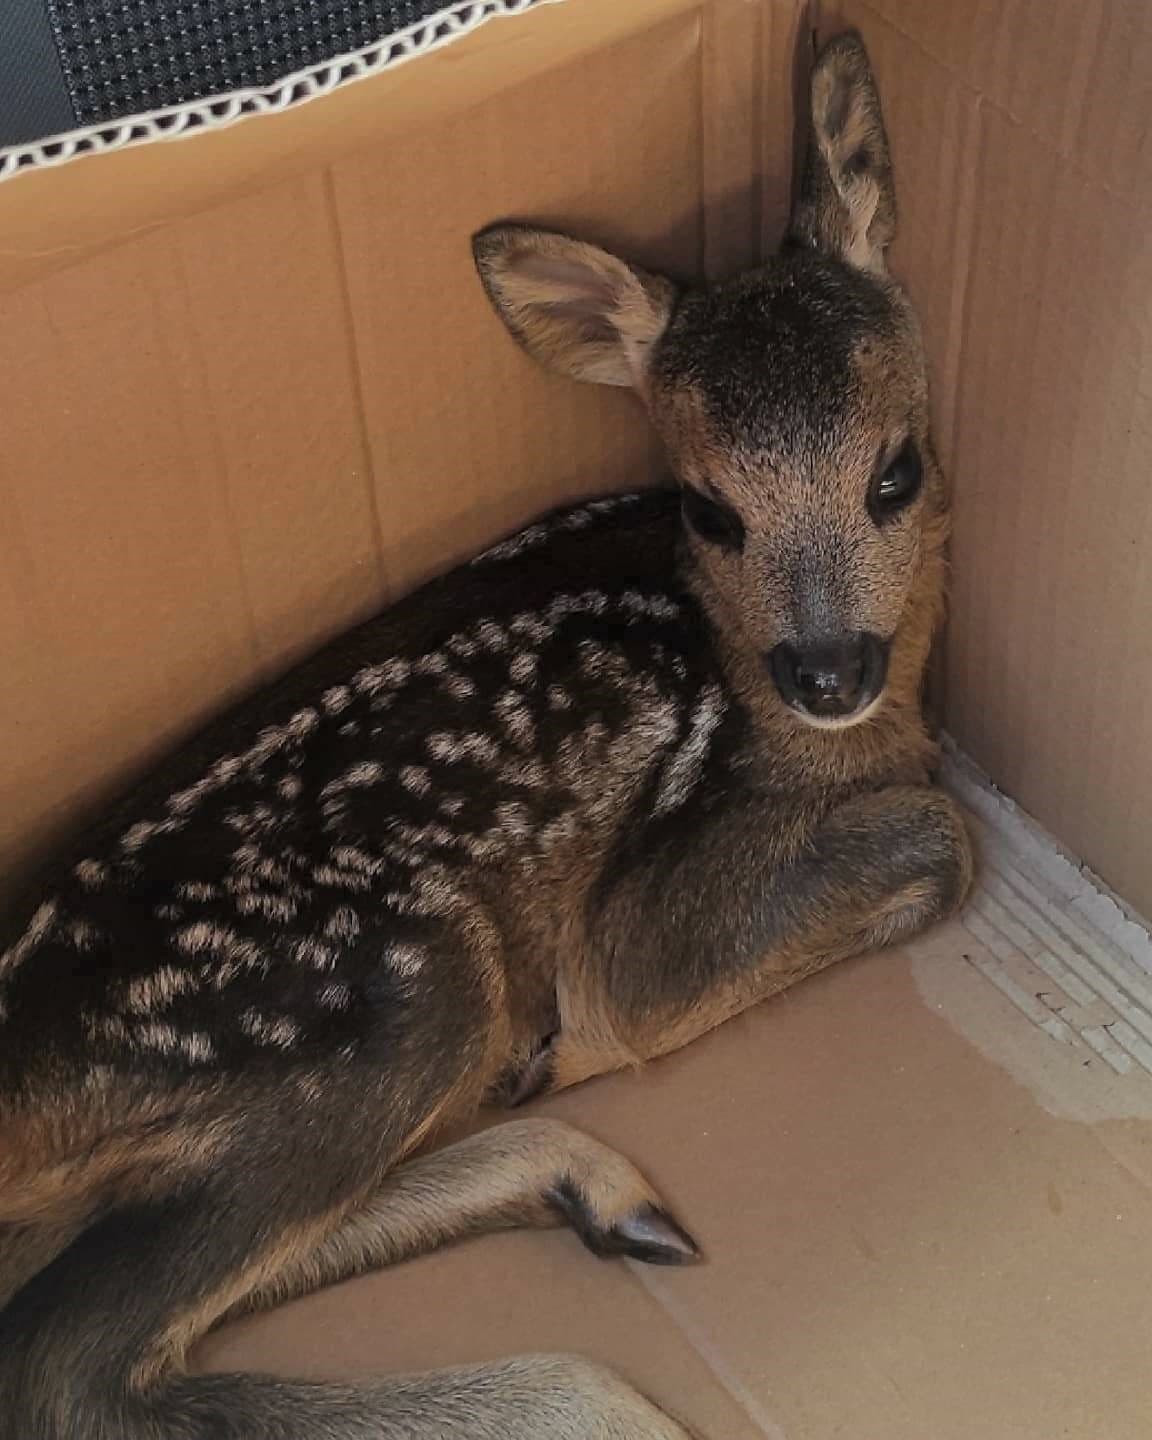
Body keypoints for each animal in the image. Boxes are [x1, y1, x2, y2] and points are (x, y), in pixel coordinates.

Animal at [0, 33, 967, 1440]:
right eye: (707, 509)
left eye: (896, 470)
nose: (828, 669)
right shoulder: (643, 925)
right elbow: (942, 836)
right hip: (395, 988)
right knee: (62, 1361)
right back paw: (591, 1383)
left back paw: (600, 1191)